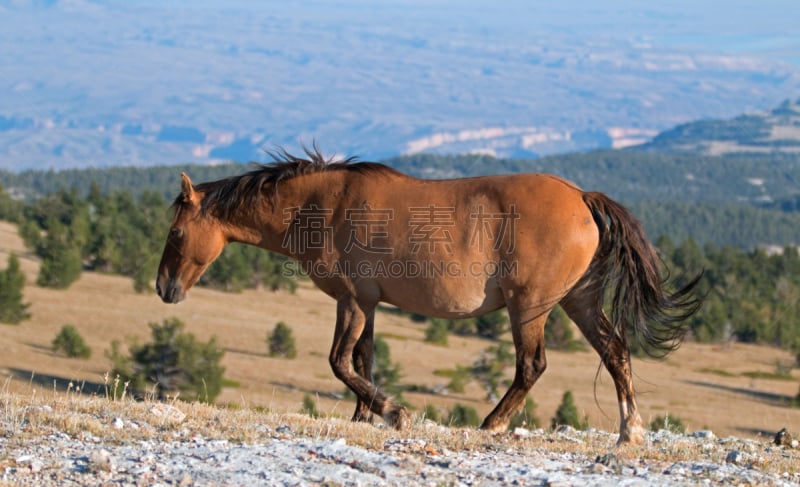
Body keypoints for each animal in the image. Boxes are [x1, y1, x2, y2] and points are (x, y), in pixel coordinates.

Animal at [156, 148, 700, 446]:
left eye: (177, 234)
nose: (164, 288)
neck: (321, 206)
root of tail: (583, 198)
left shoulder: (351, 301)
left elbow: (339, 361)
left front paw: (393, 412)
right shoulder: (367, 304)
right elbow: (363, 359)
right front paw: (365, 416)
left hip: (530, 307)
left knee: (532, 365)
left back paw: (492, 424)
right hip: (578, 302)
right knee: (616, 352)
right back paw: (629, 431)